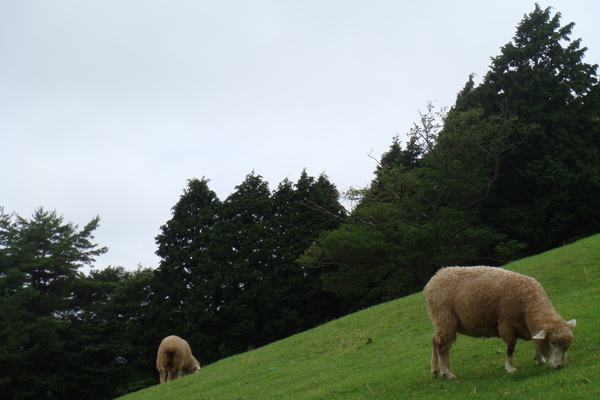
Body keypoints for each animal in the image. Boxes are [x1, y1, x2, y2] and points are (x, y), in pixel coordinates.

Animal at [422, 266, 576, 378]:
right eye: (553, 343)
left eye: (567, 346)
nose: (559, 366)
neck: (529, 303)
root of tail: (433, 280)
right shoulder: (507, 323)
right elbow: (510, 348)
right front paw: (510, 368)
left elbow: (535, 341)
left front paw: (539, 360)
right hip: (445, 318)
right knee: (442, 345)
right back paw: (447, 373)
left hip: (440, 320)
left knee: (434, 341)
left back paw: (436, 370)